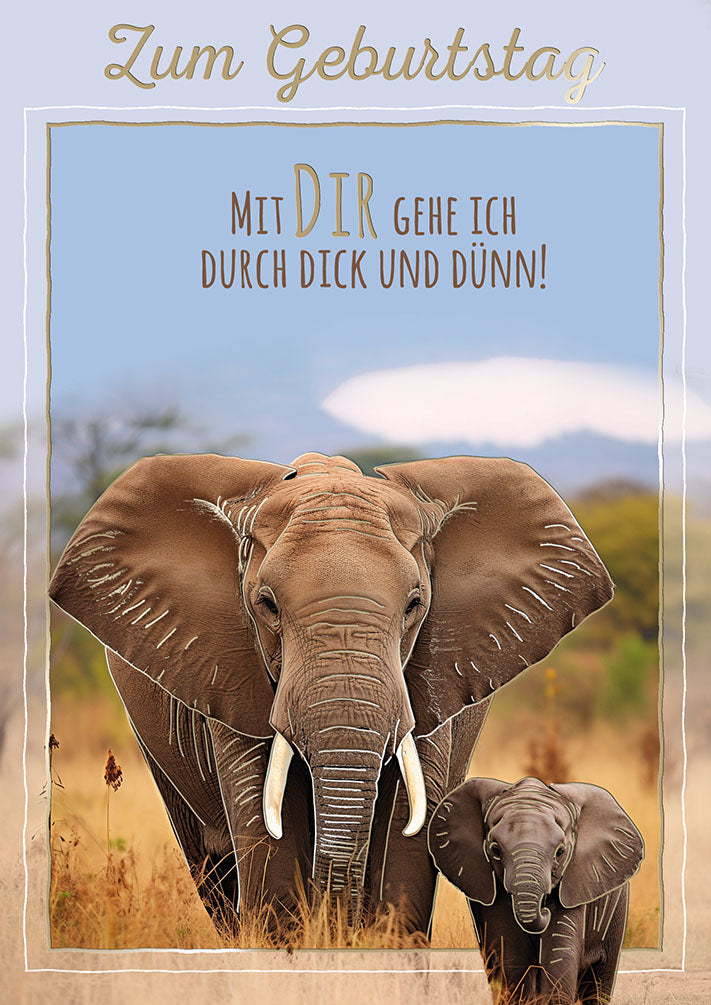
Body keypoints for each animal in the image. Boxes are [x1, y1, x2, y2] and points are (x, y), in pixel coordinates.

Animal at [49, 451, 613, 937]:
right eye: (267, 604)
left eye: (415, 604)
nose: (337, 918)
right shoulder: (231, 672)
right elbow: (266, 824)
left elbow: (407, 827)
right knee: (209, 866)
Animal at [428, 776, 644, 1003]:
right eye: (495, 850)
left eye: (560, 852)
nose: (544, 908)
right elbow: (512, 954)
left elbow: (560, 955)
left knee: (599, 982)